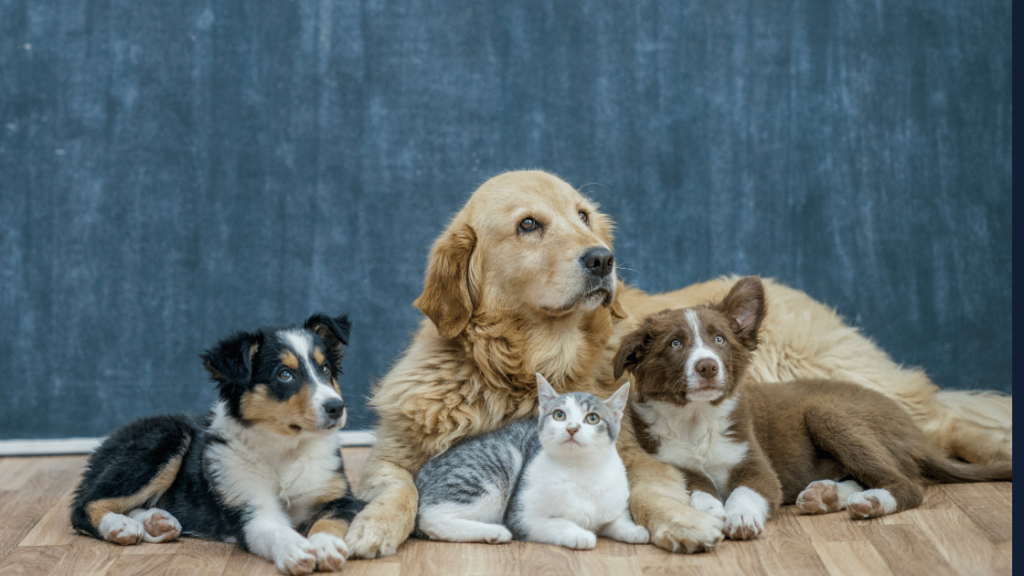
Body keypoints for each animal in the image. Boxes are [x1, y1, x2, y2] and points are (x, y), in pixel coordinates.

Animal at [71, 313, 364, 573]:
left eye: (325, 369)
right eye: (284, 375)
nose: (336, 407)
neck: (285, 449)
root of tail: (107, 441)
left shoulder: (342, 498)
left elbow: (328, 523)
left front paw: (325, 546)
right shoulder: (249, 506)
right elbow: (275, 530)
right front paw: (297, 550)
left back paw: (156, 521)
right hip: (165, 437)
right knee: (82, 506)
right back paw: (119, 526)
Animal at [409, 373, 643, 545]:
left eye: (592, 418)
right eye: (559, 415)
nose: (572, 428)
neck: (580, 471)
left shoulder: (616, 504)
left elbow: (618, 521)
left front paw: (635, 531)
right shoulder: (522, 516)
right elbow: (558, 524)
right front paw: (580, 534)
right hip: (497, 465)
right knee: (430, 517)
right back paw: (494, 532)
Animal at [610, 276, 1011, 541]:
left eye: (719, 339)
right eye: (675, 344)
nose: (708, 367)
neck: (697, 420)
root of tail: (916, 434)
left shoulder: (757, 467)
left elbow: (745, 491)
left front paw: (740, 518)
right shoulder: (675, 464)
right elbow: (701, 490)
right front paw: (712, 512)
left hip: (828, 414)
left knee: (907, 483)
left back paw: (872, 502)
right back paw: (828, 494)